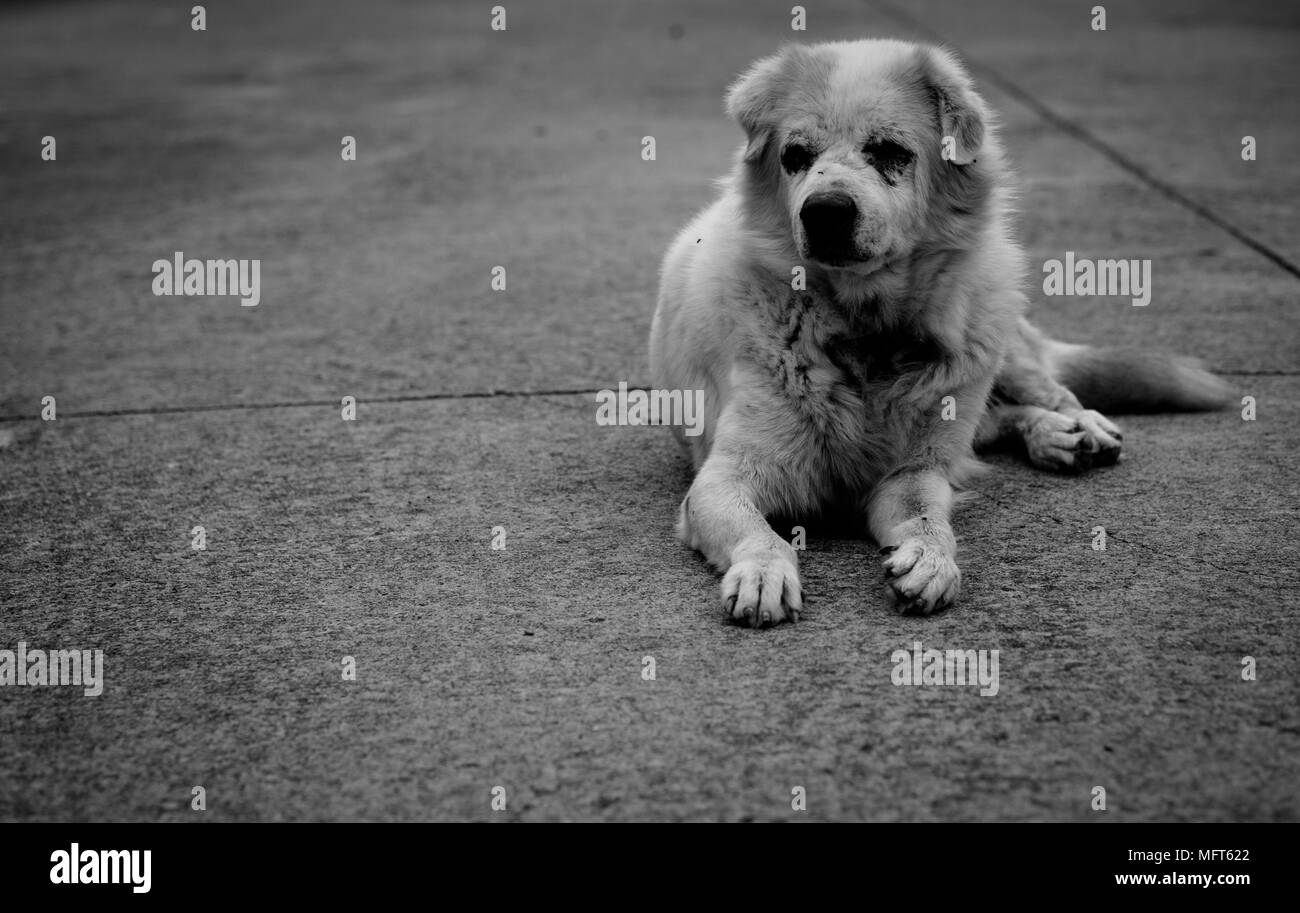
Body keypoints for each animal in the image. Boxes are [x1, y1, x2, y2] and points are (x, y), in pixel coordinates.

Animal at [650, 41, 1227, 629]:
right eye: (795, 155)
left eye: (888, 150)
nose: (824, 212)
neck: (865, 331)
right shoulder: (723, 479)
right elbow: (762, 534)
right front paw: (764, 572)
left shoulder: (912, 473)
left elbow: (929, 519)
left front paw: (931, 562)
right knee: (993, 424)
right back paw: (1051, 436)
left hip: (997, 336)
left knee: (1039, 392)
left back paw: (1075, 425)